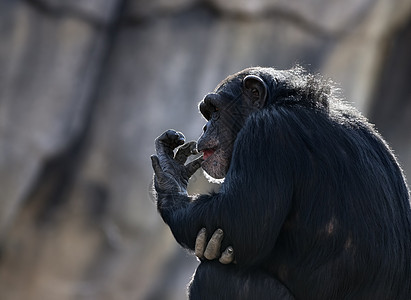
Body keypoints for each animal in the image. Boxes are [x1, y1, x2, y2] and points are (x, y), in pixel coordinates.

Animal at [150, 67, 411, 298]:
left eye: (214, 111)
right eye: (208, 113)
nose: (205, 126)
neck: (283, 101)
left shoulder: (266, 132)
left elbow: (240, 221)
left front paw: (170, 177)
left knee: (211, 277)